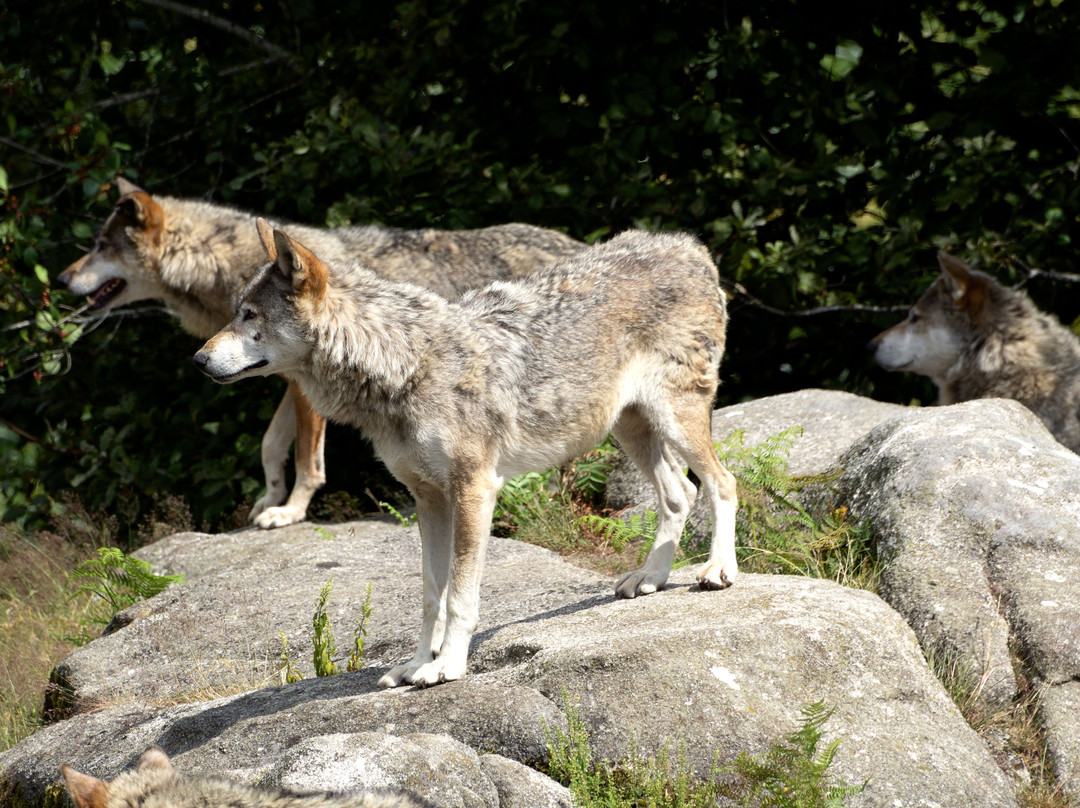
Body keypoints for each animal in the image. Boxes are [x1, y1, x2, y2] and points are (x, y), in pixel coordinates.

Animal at [55, 179, 587, 527]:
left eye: (99, 246)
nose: (60, 278)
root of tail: (578, 243)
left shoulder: (307, 393)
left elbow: (307, 461)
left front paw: (290, 512)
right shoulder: (290, 382)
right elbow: (270, 445)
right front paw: (267, 500)